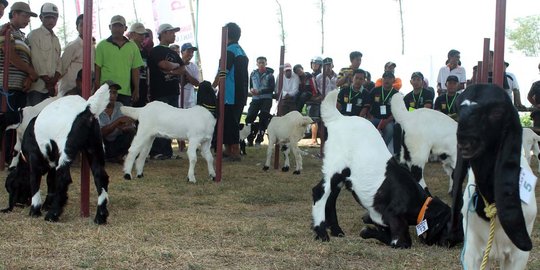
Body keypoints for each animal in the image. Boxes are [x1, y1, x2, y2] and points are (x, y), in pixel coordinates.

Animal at [16, 84, 110, 224]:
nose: (19, 202)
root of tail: (87, 109)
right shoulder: (53, 163)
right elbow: (51, 182)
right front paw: (49, 204)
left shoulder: (35, 159)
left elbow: (35, 181)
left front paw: (35, 210)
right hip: (94, 148)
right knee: (101, 177)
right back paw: (100, 216)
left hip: (67, 149)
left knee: (64, 178)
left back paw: (52, 214)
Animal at [312, 89, 460, 248]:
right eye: (449, 228)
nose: (449, 244)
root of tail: (338, 118)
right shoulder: (394, 220)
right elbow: (402, 242)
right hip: (337, 167)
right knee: (319, 192)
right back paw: (321, 233)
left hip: (341, 176)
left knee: (331, 198)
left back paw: (336, 230)